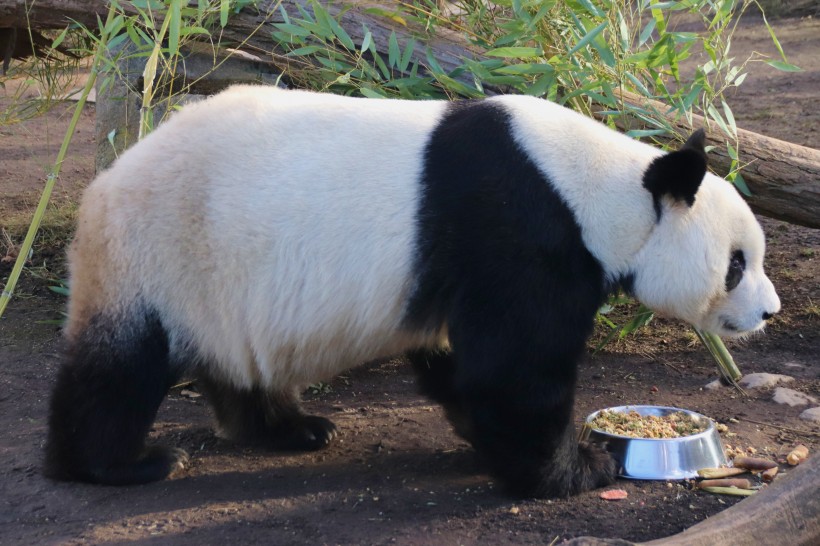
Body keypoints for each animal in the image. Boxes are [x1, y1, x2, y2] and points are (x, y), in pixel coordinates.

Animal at [44, 84, 780, 492]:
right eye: (736, 265)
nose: (769, 312)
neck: (604, 188)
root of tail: (104, 186)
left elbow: (458, 361)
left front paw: (489, 445)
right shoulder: (519, 230)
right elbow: (514, 369)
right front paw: (577, 469)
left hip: (222, 285)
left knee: (241, 363)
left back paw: (294, 429)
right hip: (162, 252)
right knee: (119, 368)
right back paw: (117, 464)